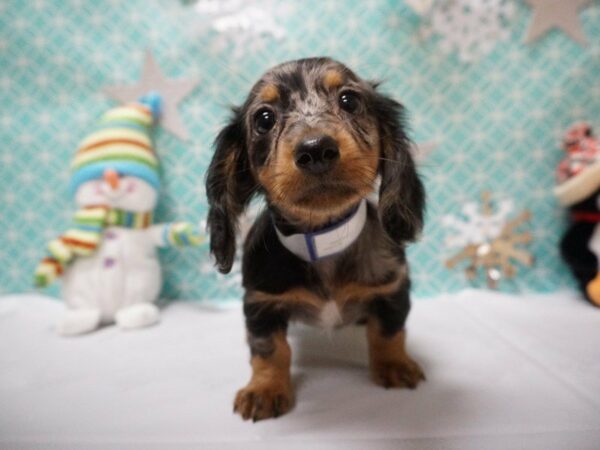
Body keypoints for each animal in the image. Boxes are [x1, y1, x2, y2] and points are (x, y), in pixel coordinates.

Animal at [206, 57, 426, 422]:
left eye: (349, 100)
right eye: (263, 118)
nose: (316, 149)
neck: (322, 241)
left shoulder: (392, 288)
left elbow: (388, 331)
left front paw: (394, 365)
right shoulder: (260, 304)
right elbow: (269, 350)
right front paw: (265, 389)